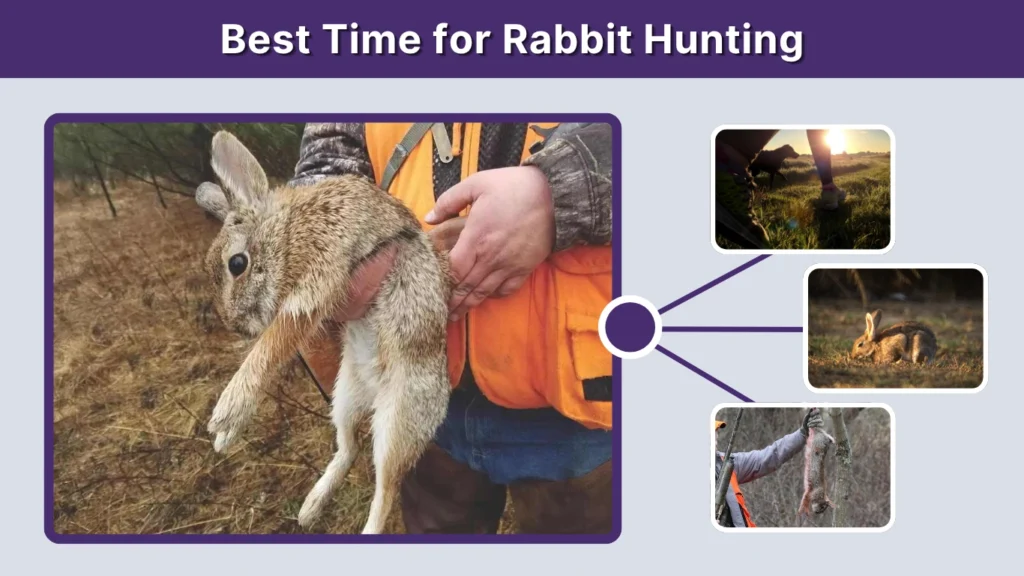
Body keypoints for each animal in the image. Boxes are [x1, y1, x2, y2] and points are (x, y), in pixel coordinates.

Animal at [194, 130, 452, 534]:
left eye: (237, 264)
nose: (236, 325)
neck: (287, 231)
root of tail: (372, 391)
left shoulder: (319, 271)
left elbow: (272, 345)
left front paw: (225, 415)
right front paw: (226, 437)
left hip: (401, 417)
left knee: (386, 487)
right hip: (342, 397)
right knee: (349, 448)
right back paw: (310, 508)